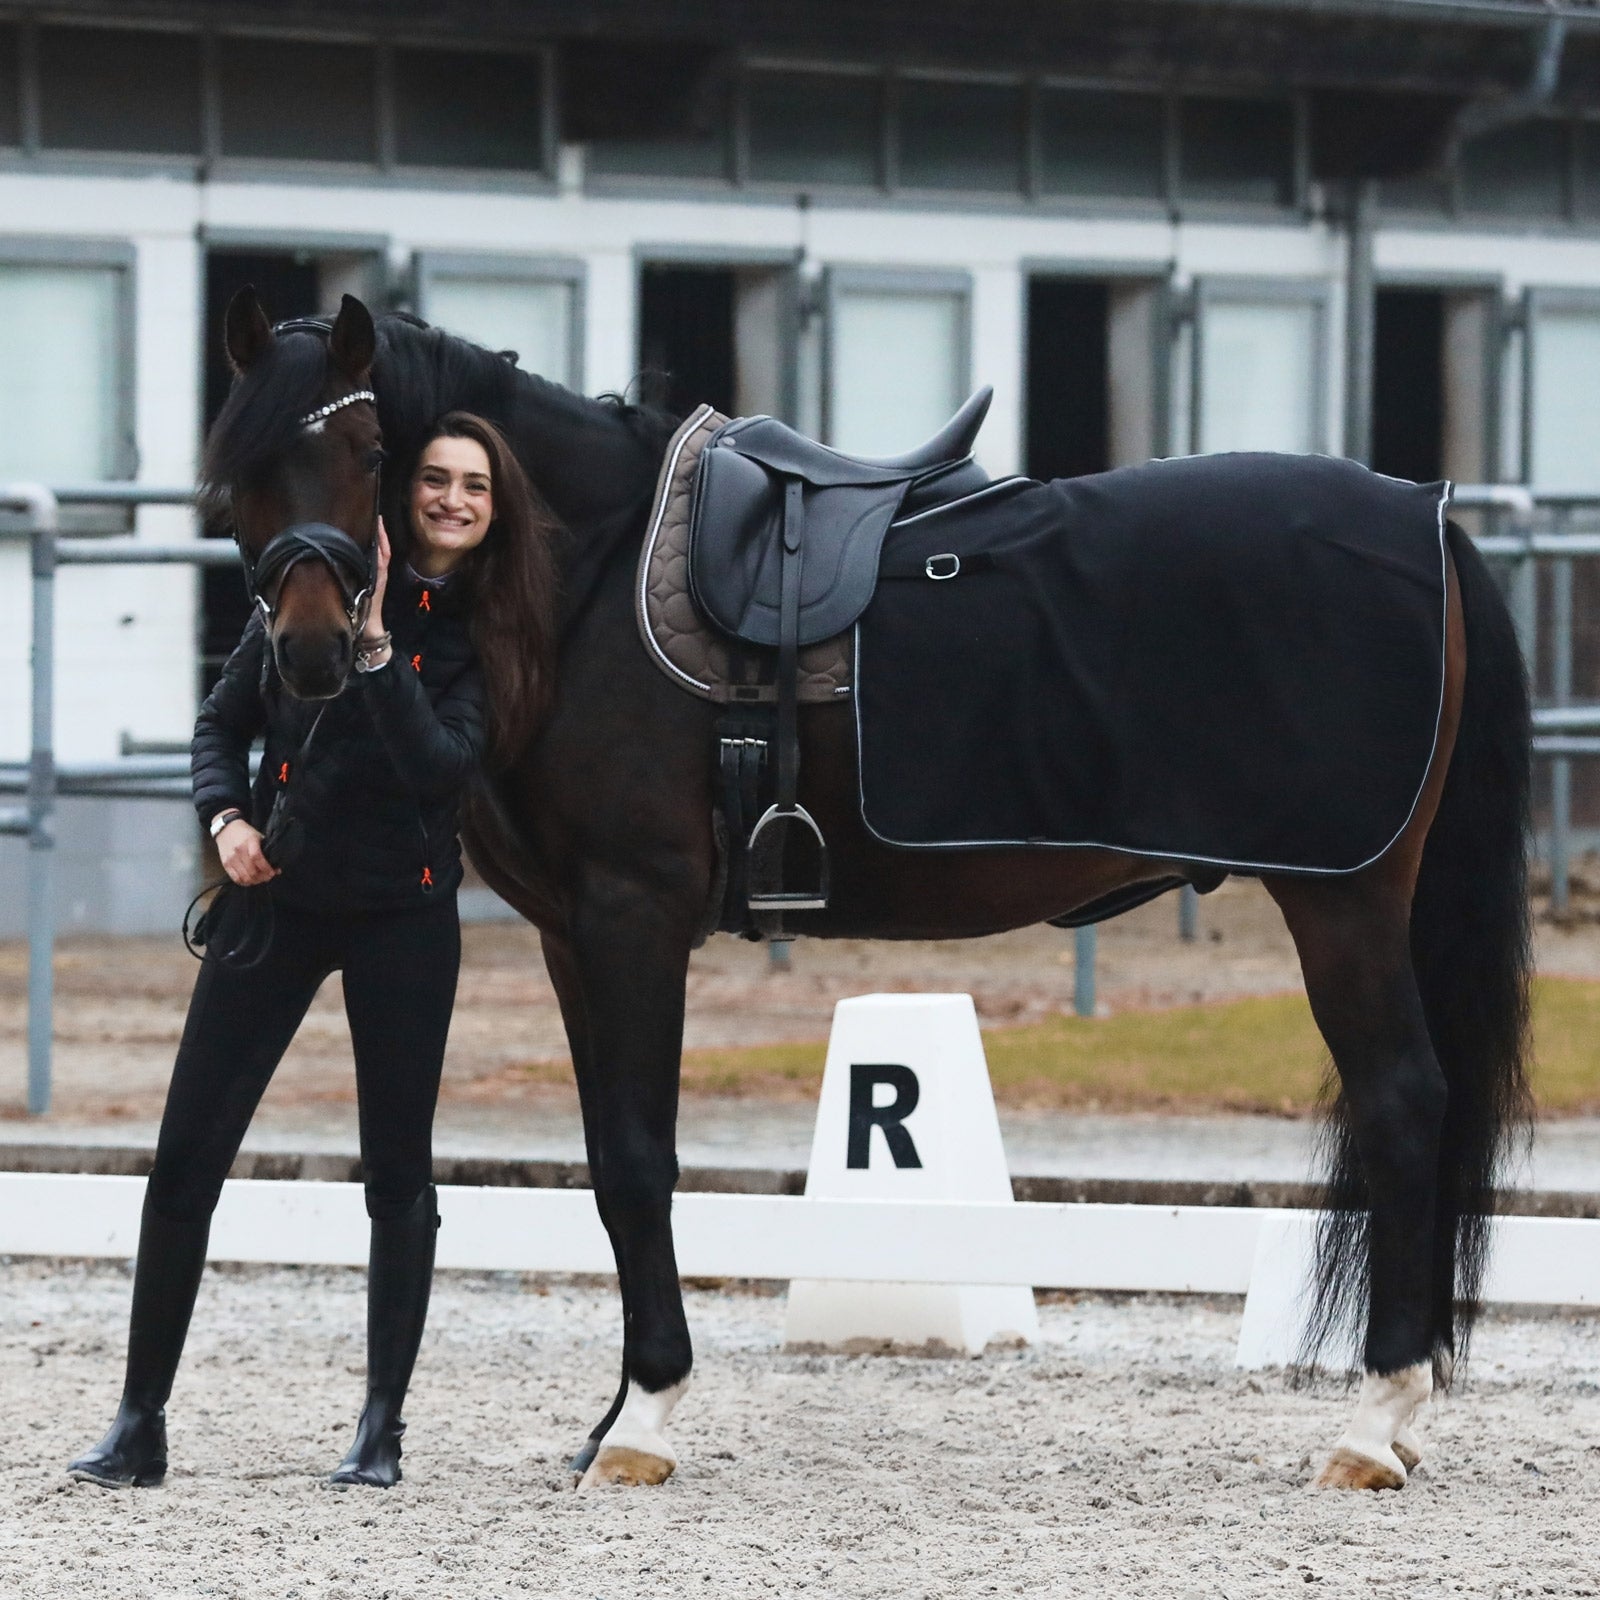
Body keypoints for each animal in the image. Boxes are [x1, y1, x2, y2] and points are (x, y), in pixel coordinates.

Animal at [204, 287, 1531, 1495]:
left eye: (369, 454)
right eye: (240, 474)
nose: (312, 653)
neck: (581, 574)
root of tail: (1424, 517)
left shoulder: (633, 914)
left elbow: (638, 1159)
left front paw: (644, 1419)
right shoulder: (572, 937)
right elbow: (608, 1164)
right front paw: (612, 1416)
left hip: (1343, 900)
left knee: (1402, 1104)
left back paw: (1371, 1425)